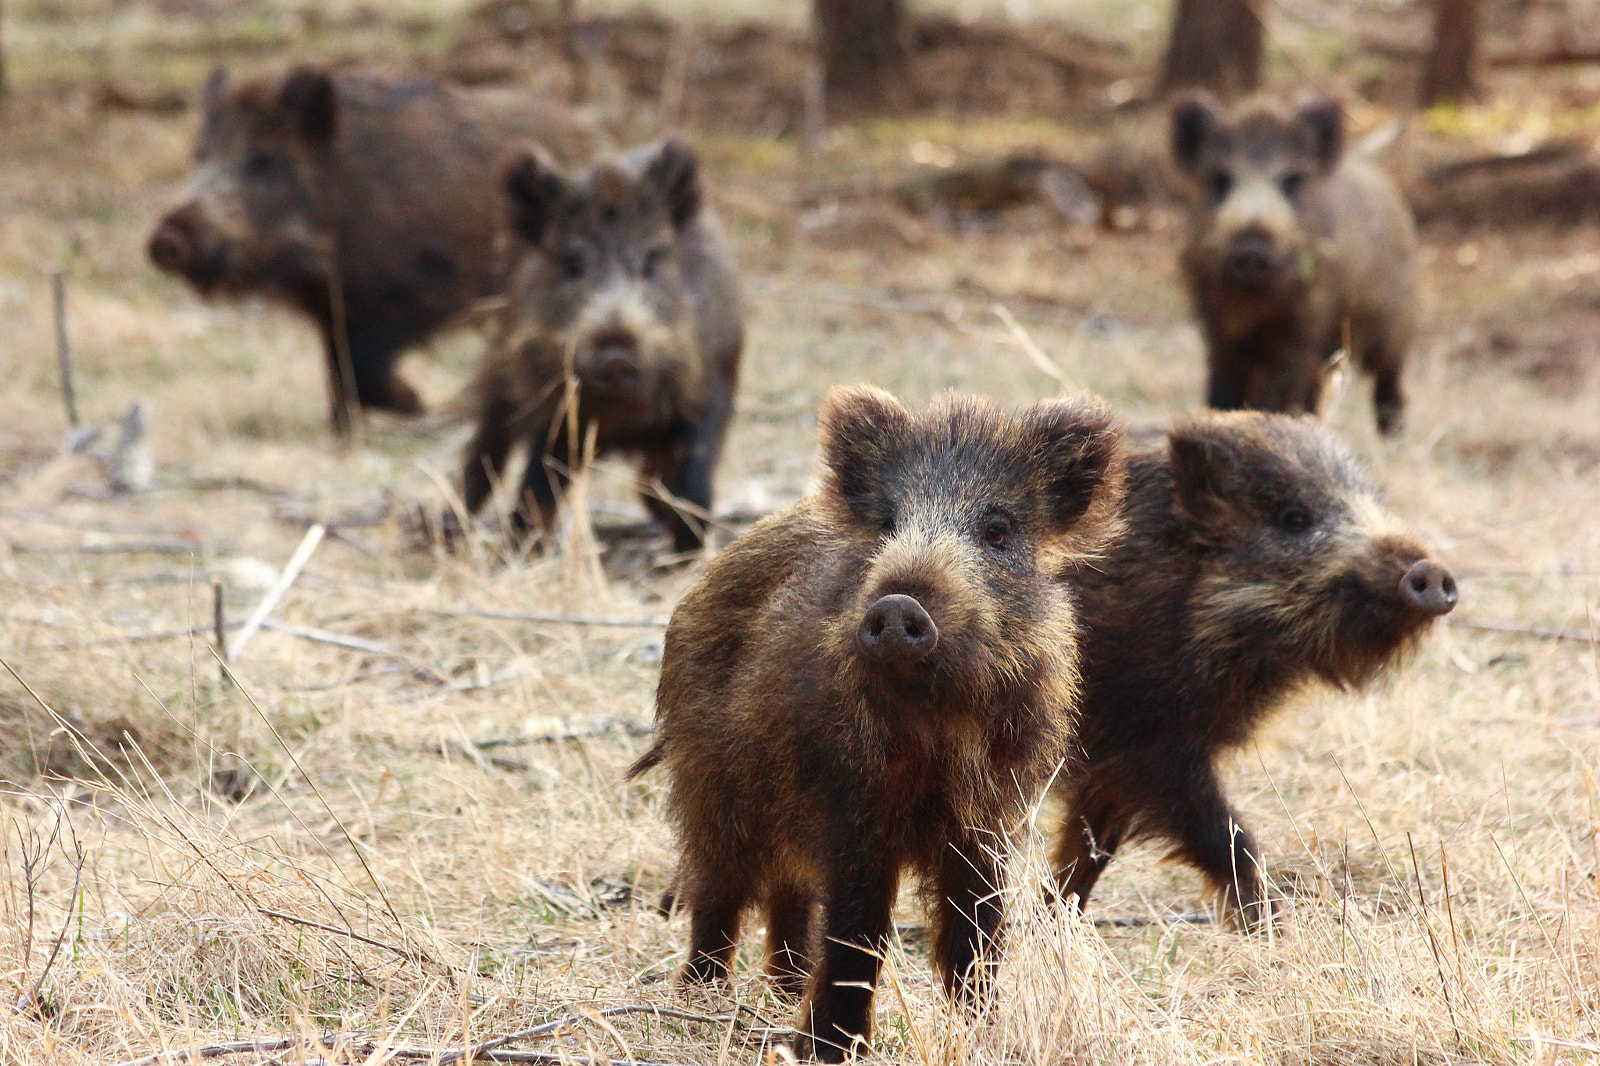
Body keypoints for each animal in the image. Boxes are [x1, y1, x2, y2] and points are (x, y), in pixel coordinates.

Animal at [148, 64, 596, 439]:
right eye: (200, 154)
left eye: (262, 160)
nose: (167, 239)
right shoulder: (335, 310)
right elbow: (338, 370)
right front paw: (344, 433)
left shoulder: (406, 298)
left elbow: (362, 370)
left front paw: (415, 404)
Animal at [459, 138, 743, 555]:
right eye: (571, 262)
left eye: (651, 260)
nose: (616, 351)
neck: (620, 422)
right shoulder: (552, 407)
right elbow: (537, 483)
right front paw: (523, 549)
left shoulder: (710, 385)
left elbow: (693, 475)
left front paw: (688, 548)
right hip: (501, 376)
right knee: (484, 452)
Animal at [631, 385, 1125, 1061]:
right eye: (889, 523)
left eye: (997, 531)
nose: (897, 603)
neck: (935, 728)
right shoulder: (852, 806)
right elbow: (858, 930)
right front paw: (834, 1050)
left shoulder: (991, 814)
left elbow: (976, 930)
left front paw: (981, 1032)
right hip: (712, 779)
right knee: (718, 888)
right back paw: (701, 994)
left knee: (787, 891)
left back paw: (784, 987)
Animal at [1050, 411, 1457, 929]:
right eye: (1294, 518)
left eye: (1372, 503)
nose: (1432, 572)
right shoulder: (1149, 743)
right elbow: (1227, 836)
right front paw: (1270, 925)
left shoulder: (1119, 763)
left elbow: (1090, 850)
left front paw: (1054, 918)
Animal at [1171, 94, 1418, 435]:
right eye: (1219, 180)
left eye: (1292, 181)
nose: (1251, 249)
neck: (1255, 308)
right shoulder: (1216, 327)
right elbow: (1222, 388)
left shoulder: (1304, 328)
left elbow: (1278, 389)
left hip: (1394, 318)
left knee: (1389, 376)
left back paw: (1392, 435)